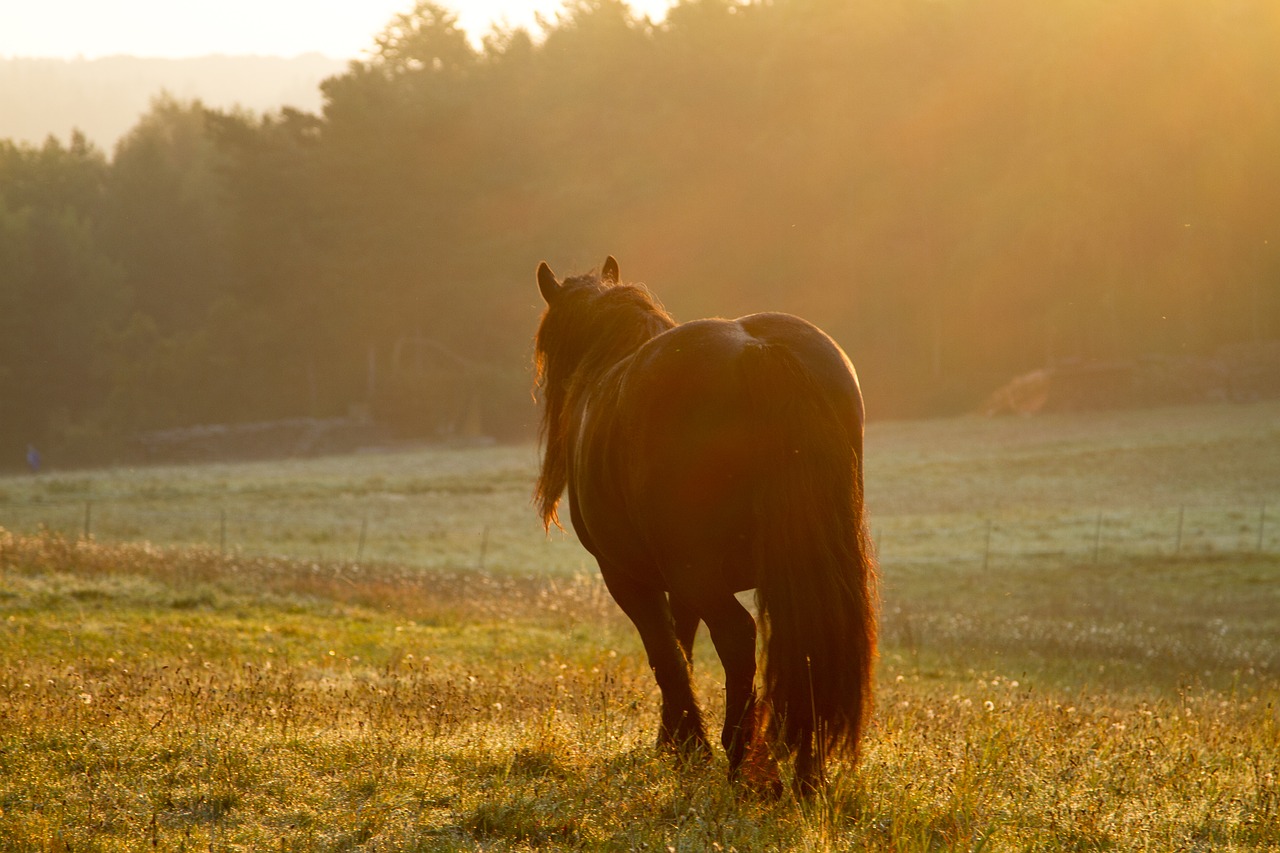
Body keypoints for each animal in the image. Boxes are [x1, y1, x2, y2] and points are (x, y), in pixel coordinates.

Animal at [532, 253, 880, 788]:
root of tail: (759, 350)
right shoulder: (679, 582)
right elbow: (684, 642)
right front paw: (672, 737)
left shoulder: (628, 577)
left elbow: (665, 652)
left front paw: (687, 743)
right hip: (801, 571)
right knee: (811, 643)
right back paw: (808, 773)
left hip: (699, 573)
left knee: (737, 636)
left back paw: (743, 759)